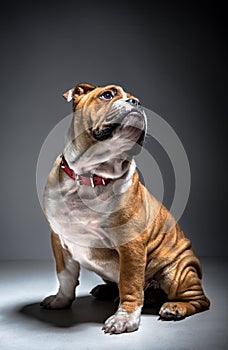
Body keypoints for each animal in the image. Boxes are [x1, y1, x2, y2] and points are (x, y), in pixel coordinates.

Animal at [41, 82, 210, 334]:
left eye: (136, 99)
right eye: (107, 95)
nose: (136, 103)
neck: (92, 176)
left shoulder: (130, 245)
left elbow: (130, 284)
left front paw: (124, 319)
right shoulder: (58, 239)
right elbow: (65, 275)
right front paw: (61, 300)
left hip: (177, 271)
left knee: (200, 300)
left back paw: (175, 307)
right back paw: (105, 290)